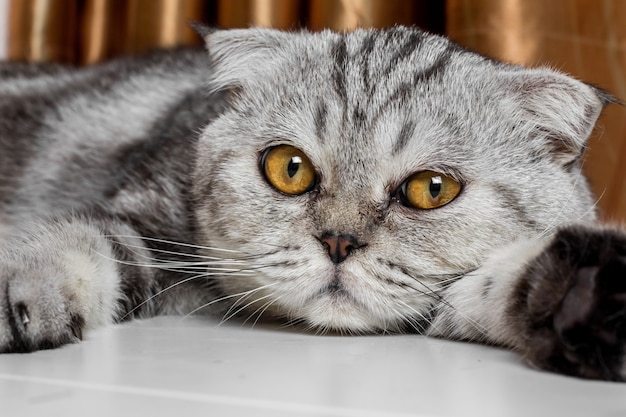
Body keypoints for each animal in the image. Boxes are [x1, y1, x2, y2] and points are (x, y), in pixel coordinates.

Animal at [1, 25, 624, 380]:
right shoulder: (145, 217)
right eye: (289, 168)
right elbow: (79, 239)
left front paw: (588, 297)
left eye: (432, 188)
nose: (339, 242)